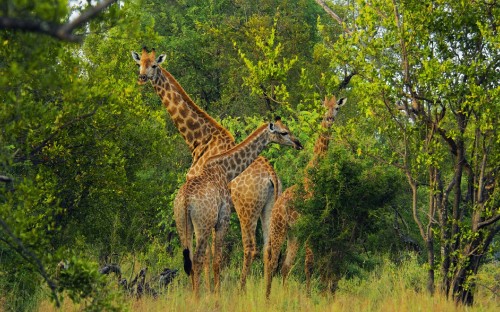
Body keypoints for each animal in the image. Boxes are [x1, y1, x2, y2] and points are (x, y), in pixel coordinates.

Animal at [131, 47, 282, 288]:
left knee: (250, 248)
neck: (199, 139)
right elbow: (212, 251)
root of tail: (271, 176)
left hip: (246, 209)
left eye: (154, 65)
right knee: (269, 248)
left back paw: (241, 289)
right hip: (268, 207)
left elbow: (208, 251)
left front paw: (209, 288)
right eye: (140, 64)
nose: (142, 77)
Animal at [174, 117, 302, 298]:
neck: (224, 168)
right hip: (208, 223)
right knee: (201, 258)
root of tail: (185, 201)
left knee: (191, 259)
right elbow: (216, 258)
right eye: (284, 132)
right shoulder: (223, 217)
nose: (298, 143)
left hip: (183, 224)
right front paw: (216, 295)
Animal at [264, 94, 346, 298]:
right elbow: (309, 264)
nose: (329, 119)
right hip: (279, 230)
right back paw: (267, 298)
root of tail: (275, 209)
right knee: (272, 262)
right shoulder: (311, 224)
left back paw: (283, 296)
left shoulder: (315, 226)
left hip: (293, 234)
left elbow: (314, 263)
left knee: (285, 266)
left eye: (337, 108)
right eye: (324, 107)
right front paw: (309, 297)